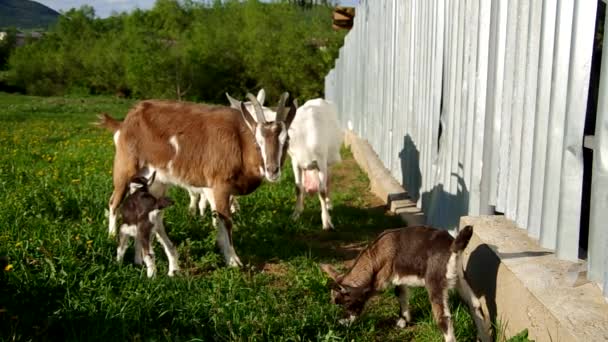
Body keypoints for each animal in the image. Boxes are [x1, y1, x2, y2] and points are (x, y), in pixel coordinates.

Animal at [97, 93, 296, 268]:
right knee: (114, 202)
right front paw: (233, 261)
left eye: (286, 140)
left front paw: (222, 249)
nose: (272, 170)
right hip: (125, 167)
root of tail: (127, 120)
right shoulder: (220, 185)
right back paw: (111, 236)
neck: (240, 142)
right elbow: (226, 221)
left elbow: (218, 218)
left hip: (154, 181)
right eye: (257, 142)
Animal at [320, 226, 492, 340]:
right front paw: (404, 321)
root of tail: (452, 246)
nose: (341, 323)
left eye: (346, 303)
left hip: (435, 282)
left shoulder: (382, 280)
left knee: (444, 318)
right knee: (476, 305)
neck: (376, 255)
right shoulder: (399, 279)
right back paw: (484, 338)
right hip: (461, 280)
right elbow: (401, 295)